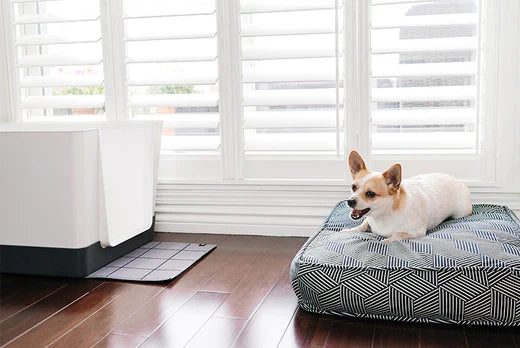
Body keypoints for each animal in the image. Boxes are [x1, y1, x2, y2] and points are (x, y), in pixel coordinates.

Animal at [342, 150, 472, 242]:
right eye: (353, 187)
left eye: (370, 194)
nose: (350, 201)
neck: (383, 216)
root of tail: (458, 180)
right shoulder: (368, 221)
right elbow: (362, 225)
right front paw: (350, 230)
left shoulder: (415, 232)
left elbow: (396, 235)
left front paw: (385, 240)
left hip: (460, 213)